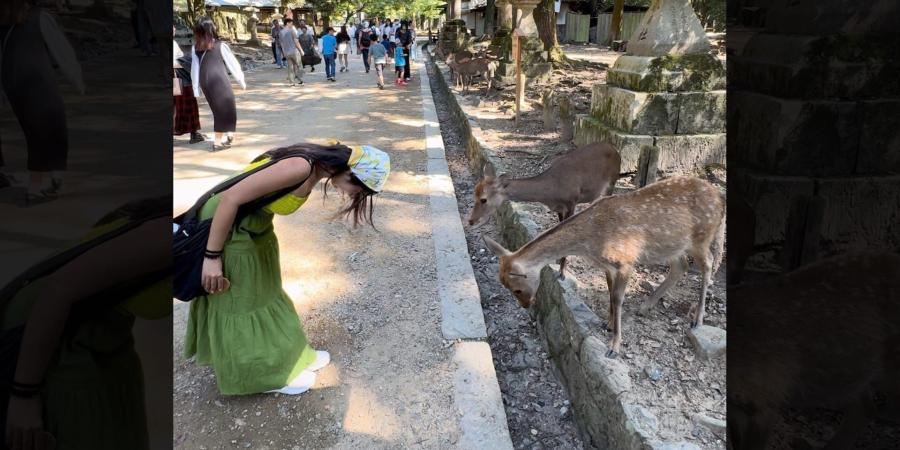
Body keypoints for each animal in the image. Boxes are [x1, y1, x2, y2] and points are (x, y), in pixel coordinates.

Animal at [472, 143, 620, 282]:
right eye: (475, 191)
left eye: (484, 199)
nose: (471, 220)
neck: (552, 191)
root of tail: (616, 150)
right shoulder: (559, 208)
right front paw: (557, 261)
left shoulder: (571, 202)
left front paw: (562, 273)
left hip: (612, 182)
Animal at [486, 176, 724, 358]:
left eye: (517, 288)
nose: (526, 305)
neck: (592, 241)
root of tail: (720, 201)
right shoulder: (608, 266)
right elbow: (610, 293)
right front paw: (608, 324)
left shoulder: (626, 261)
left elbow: (618, 299)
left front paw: (614, 346)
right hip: (672, 245)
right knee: (680, 265)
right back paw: (646, 306)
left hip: (701, 237)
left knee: (708, 264)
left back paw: (697, 319)